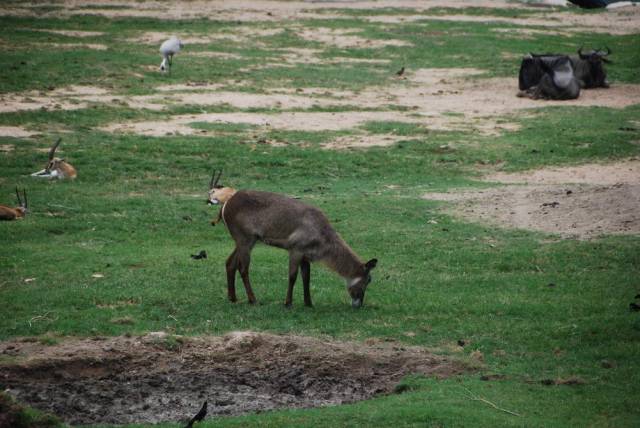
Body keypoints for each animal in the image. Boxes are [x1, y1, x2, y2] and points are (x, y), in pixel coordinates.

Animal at [205, 171, 378, 308]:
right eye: (369, 279)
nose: (358, 304)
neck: (323, 237)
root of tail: (225, 205)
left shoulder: (306, 255)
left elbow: (306, 277)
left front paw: (309, 303)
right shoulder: (295, 249)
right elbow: (292, 276)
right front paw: (288, 303)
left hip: (247, 240)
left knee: (230, 262)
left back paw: (233, 298)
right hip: (244, 238)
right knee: (243, 268)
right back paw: (253, 299)